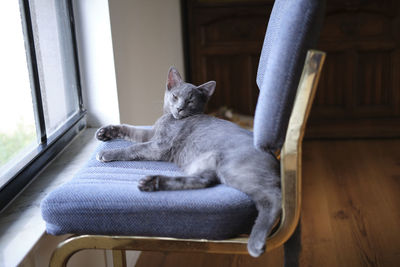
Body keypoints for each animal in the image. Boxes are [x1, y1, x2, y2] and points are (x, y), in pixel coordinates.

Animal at [95, 67, 282, 258]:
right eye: (175, 96)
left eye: (190, 100)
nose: (179, 108)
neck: (168, 118)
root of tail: (272, 155)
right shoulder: (151, 135)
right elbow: (130, 129)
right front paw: (105, 132)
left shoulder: (159, 145)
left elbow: (133, 148)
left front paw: (107, 153)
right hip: (205, 164)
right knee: (203, 181)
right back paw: (151, 182)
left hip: (234, 169)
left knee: (273, 198)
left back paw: (256, 243)